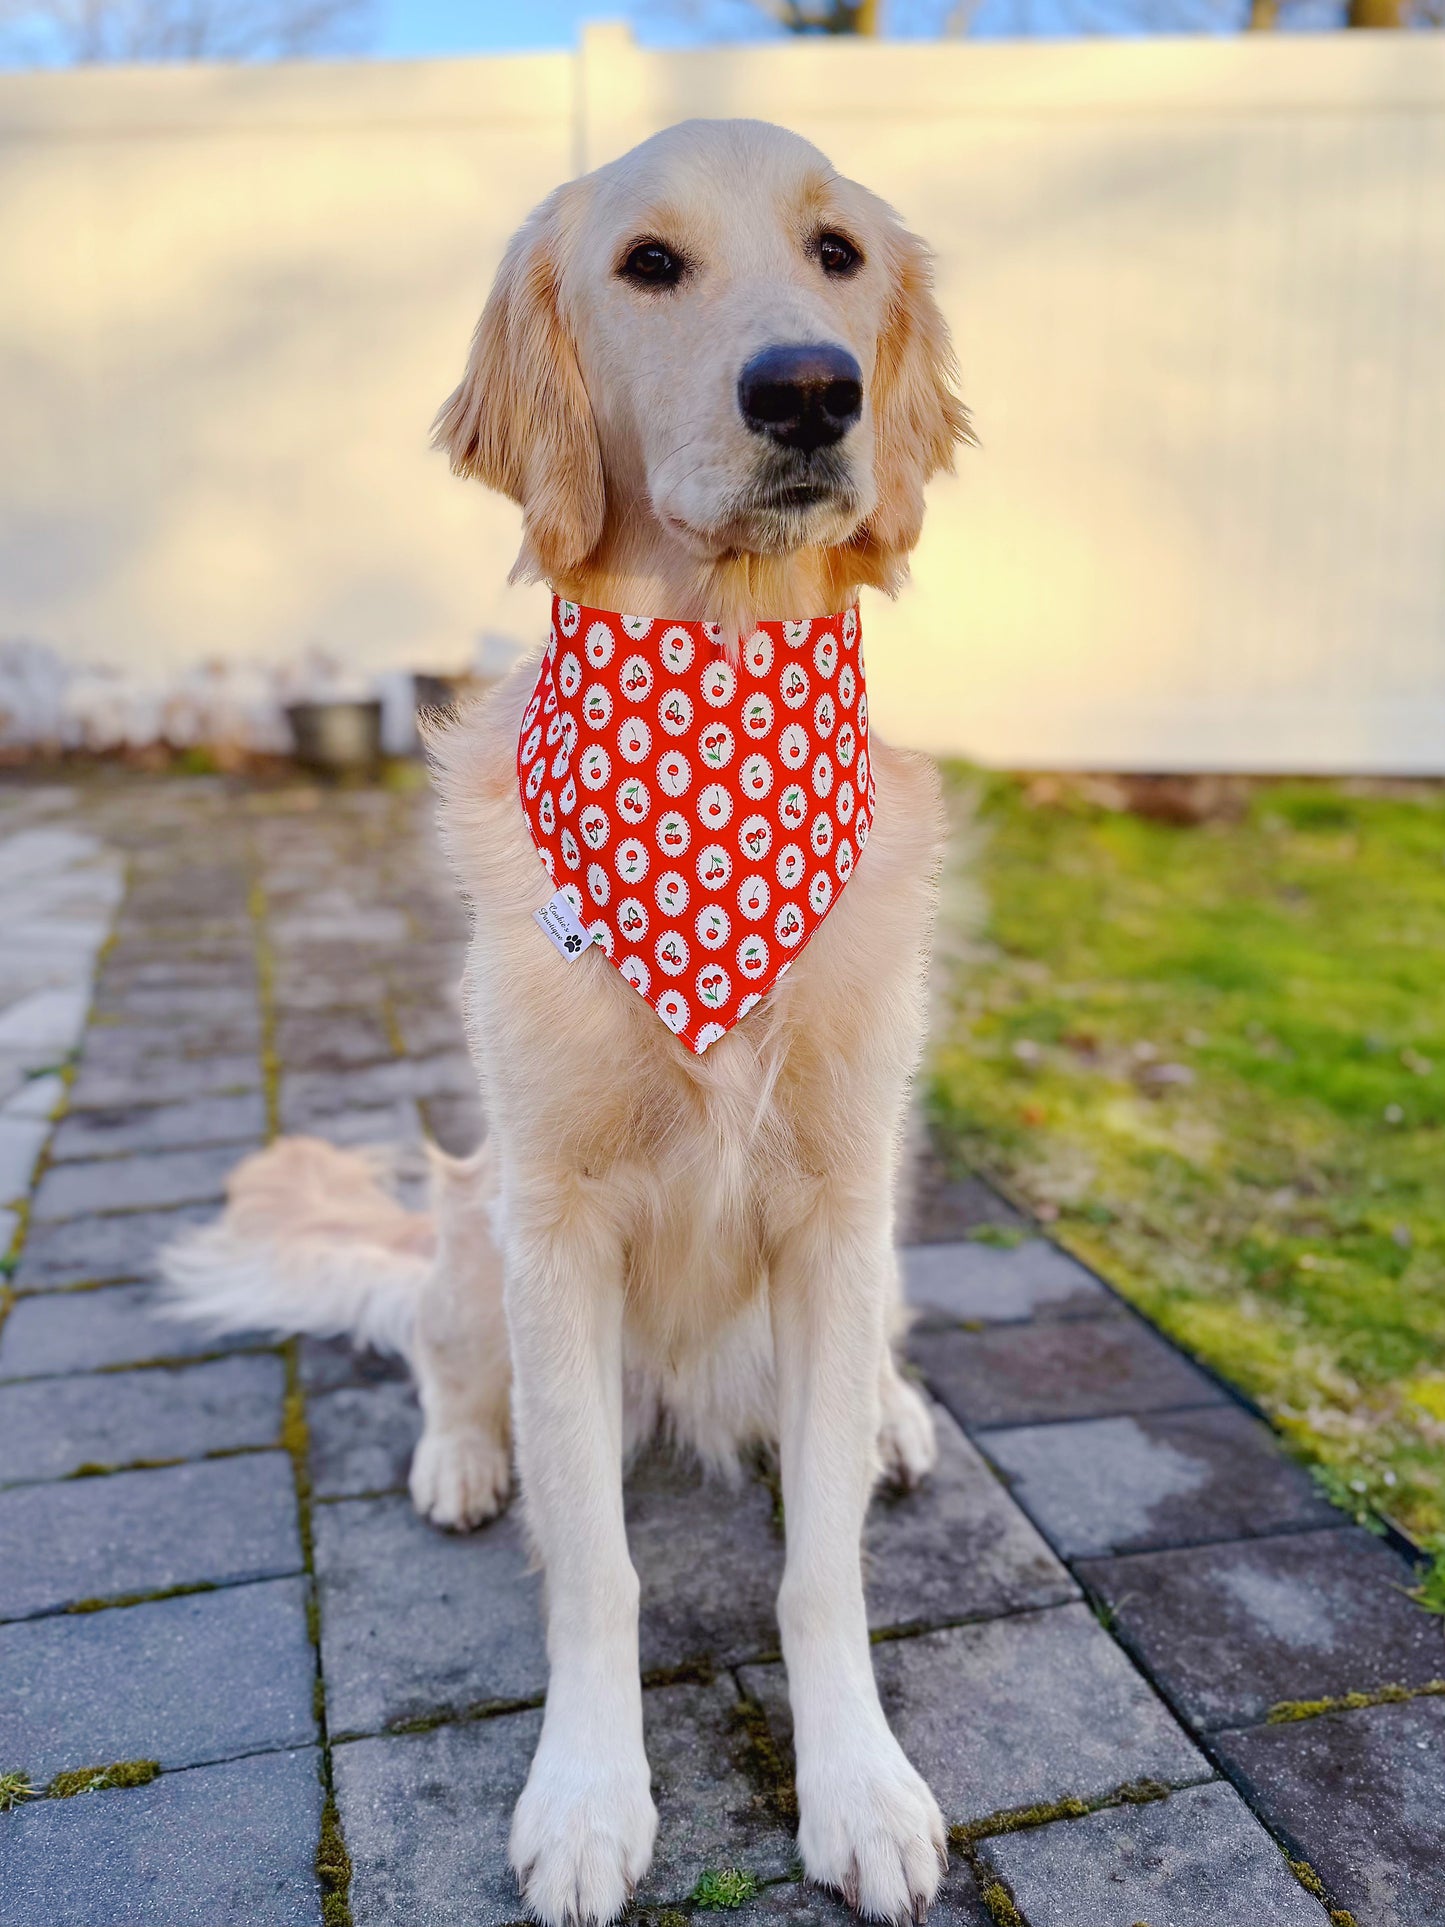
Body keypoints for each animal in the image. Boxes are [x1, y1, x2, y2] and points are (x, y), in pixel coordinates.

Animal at [169, 116, 974, 1927]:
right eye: (648, 265)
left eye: (836, 254)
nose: (809, 392)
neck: (718, 701)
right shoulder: (555, 1217)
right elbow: (593, 1562)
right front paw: (591, 1797)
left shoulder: (837, 1204)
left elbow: (821, 1564)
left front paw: (863, 1784)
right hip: (475, 1226)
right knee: (439, 1355)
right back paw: (464, 1457)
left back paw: (896, 1416)